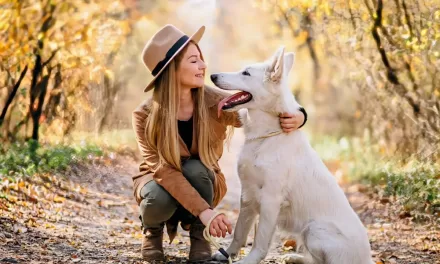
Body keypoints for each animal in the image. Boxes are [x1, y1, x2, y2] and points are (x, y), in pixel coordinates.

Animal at [210, 46, 372, 262]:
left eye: (246, 73)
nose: (212, 75)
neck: (266, 136)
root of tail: (368, 259)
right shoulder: (248, 195)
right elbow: (239, 232)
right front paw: (227, 254)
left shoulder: (270, 199)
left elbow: (260, 241)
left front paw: (248, 261)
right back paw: (294, 258)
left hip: (314, 230)